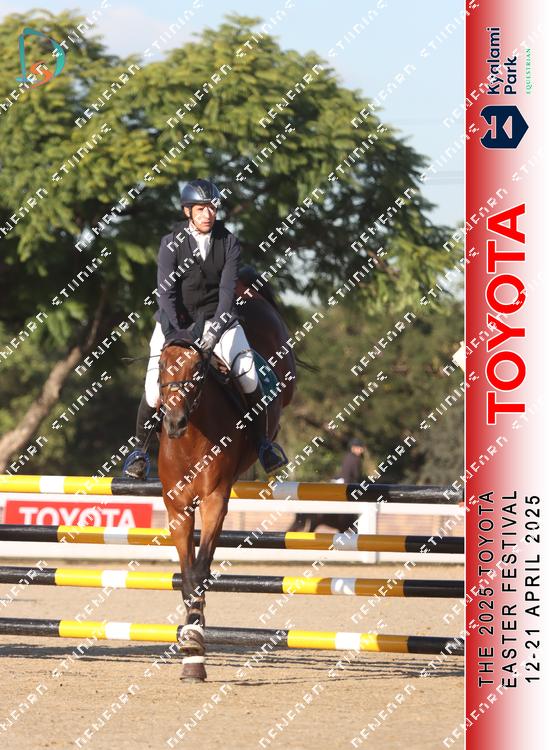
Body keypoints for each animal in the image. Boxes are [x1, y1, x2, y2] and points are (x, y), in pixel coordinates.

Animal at [157, 272, 295, 682]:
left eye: (196, 372)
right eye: (161, 371)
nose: (174, 423)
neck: (190, 439)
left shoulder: (215, 499)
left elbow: (202, 567)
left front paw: (195, 642)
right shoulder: (177, 508)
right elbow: (187, 572)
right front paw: (191, 642)